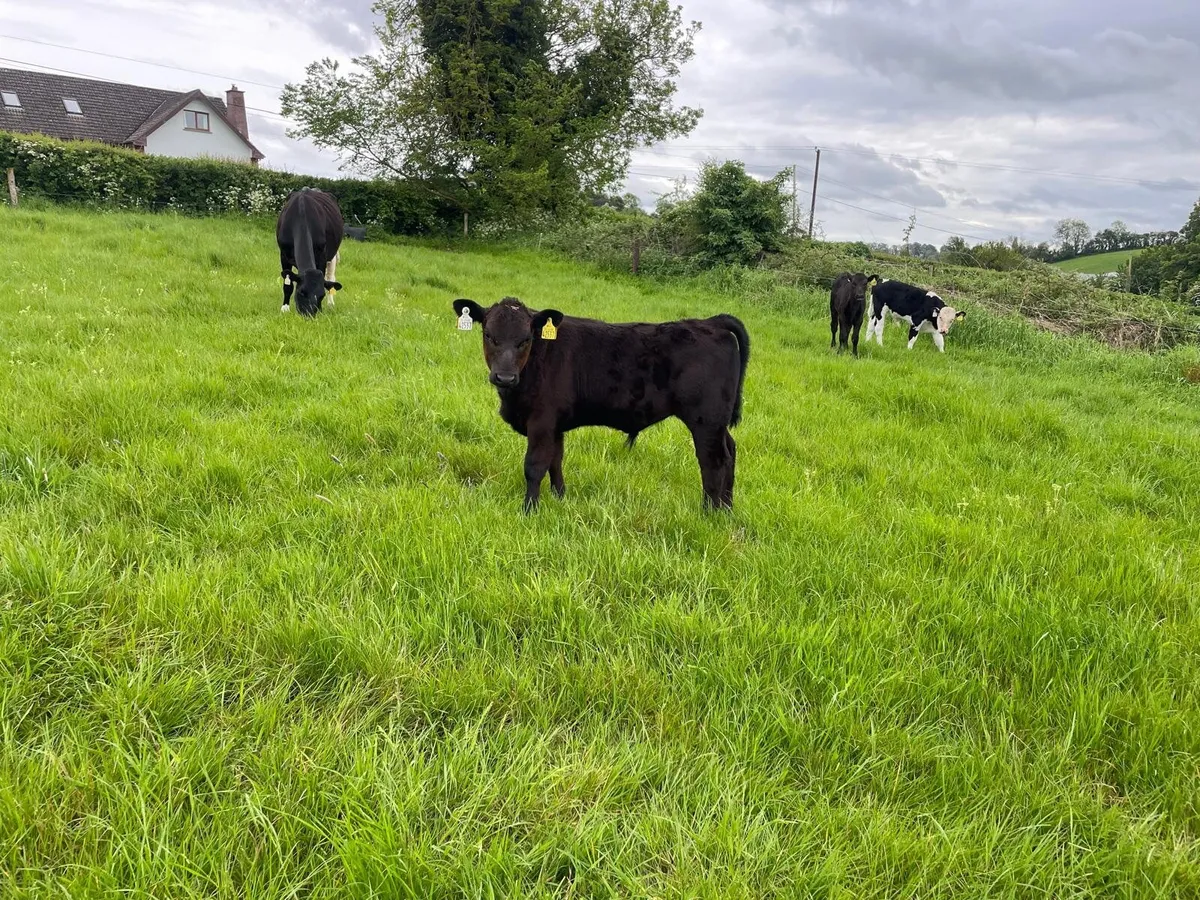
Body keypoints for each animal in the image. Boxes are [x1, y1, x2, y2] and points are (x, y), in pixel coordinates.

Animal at [276, 188, 344, 316]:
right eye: (302, 292)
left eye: (321, 295)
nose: (310, 314)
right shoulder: (283, 254)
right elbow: (288, 284)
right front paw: (284, 308)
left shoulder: (322, 255)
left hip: (333, 254)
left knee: (331, 277)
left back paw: (331, 304)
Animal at [452, 297, 750, 512]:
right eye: (489, 335)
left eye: (525, 339)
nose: (504, 376)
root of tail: (711, 322)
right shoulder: (555, 425)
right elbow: (556, 461)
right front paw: (560, 497)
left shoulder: (541, 421)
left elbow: (535, 466)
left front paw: (529, 510)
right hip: (717, 423)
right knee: (730, 452)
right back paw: (726, 509)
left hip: (705, 420)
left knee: (714, 461)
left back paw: (709, 512)